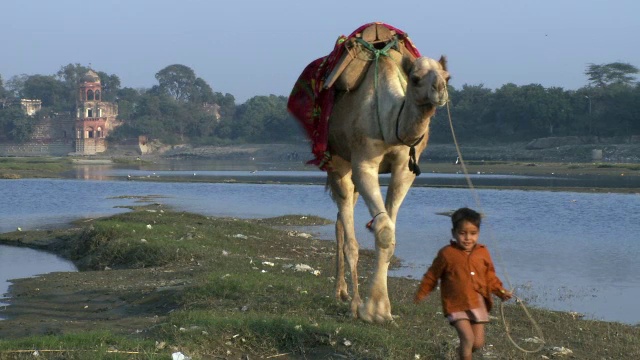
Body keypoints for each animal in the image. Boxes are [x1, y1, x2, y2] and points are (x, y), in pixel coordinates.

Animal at [324, 54, 450, 324]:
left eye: (448, 76)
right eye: (415, 78)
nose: (440, 90)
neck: (391, 122)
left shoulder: (405, 167)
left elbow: (390, 231)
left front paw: (383, 309)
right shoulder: (364, 163)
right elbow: (383, 230)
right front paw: (372, 310)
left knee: (340, 219)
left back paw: (342, 292)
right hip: (338, 161)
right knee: (347, 227)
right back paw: (350, 300)